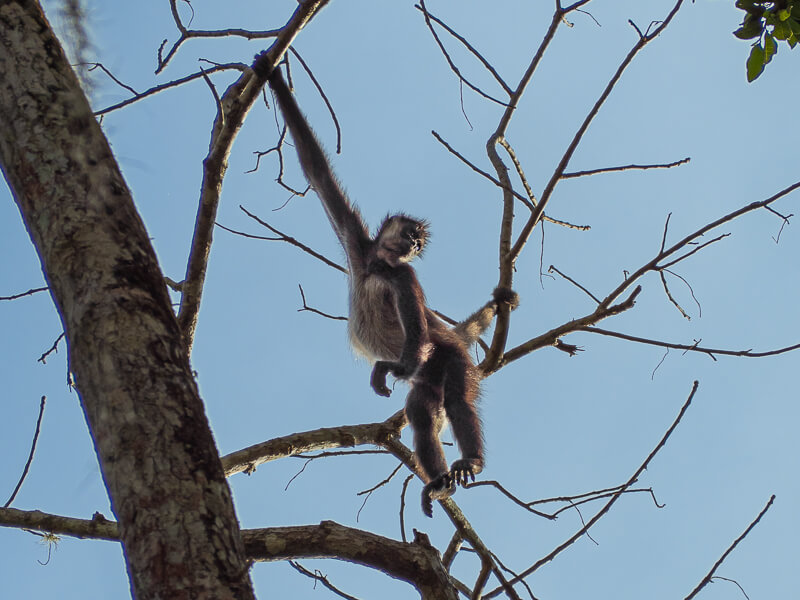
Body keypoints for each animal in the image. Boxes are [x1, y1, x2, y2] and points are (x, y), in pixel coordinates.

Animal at [258, 62, 520, 520]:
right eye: (411, 234)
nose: (414, 244)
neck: (376, 265)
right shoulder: (357, 244)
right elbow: (316, 170)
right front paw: (269, 73)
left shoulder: (403, 276)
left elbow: (413, 323)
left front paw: (393, 367)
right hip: (427, 382)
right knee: (421, 414)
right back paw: (439, 480)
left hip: (447, 356)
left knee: (456, 399)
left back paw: (470, 460)